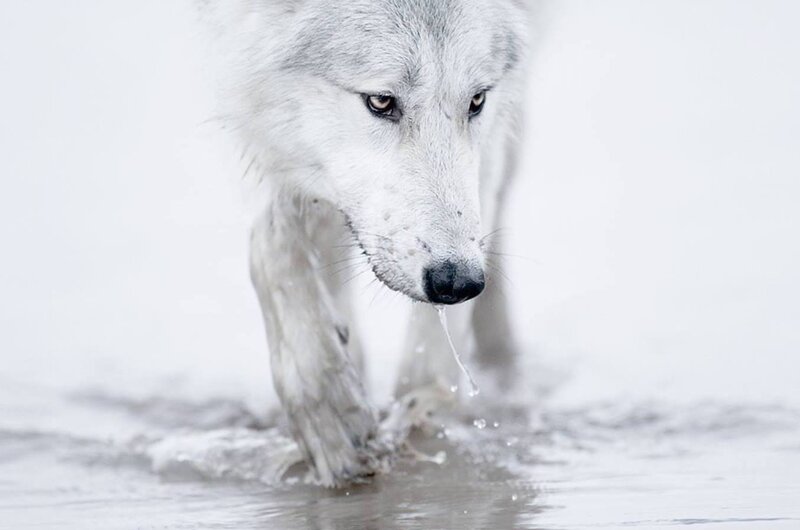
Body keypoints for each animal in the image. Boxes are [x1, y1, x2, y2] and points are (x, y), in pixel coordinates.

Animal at [201, 0, 530, 487]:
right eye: (381, 101)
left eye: (476, 101)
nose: (459, 282)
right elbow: (273, 238)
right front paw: (331, 410)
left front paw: (419, 413)